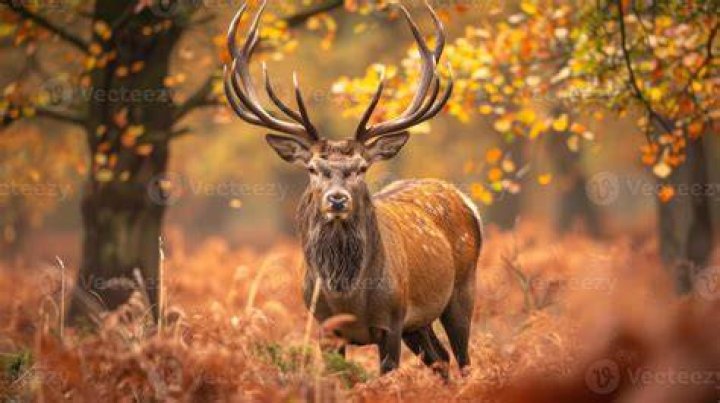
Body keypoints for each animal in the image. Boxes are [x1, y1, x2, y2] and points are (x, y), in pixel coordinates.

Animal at [223, 1, 483, 377]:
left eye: (361, 168)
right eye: (313, 169)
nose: (337, 199)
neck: (348, 297)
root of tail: (464, 199)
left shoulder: (392, 320)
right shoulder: (324, 326)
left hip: (461, 290)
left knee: (463, 359)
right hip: (418, 323)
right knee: (440, 358)